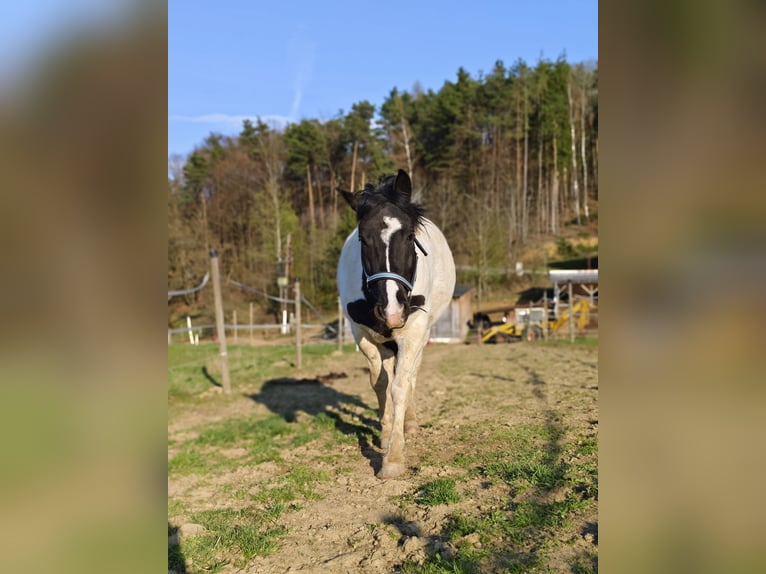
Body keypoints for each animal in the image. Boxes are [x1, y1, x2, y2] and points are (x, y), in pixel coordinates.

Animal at [337, 170, 456, 479]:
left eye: (411, 235)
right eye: (363, 239)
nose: (391, 311)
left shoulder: (413, 333)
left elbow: (401, 385)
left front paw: (393, 458)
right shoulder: (361, 334)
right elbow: (379, 382)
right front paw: (385, 430)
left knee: (410, 375)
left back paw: (410, 422)